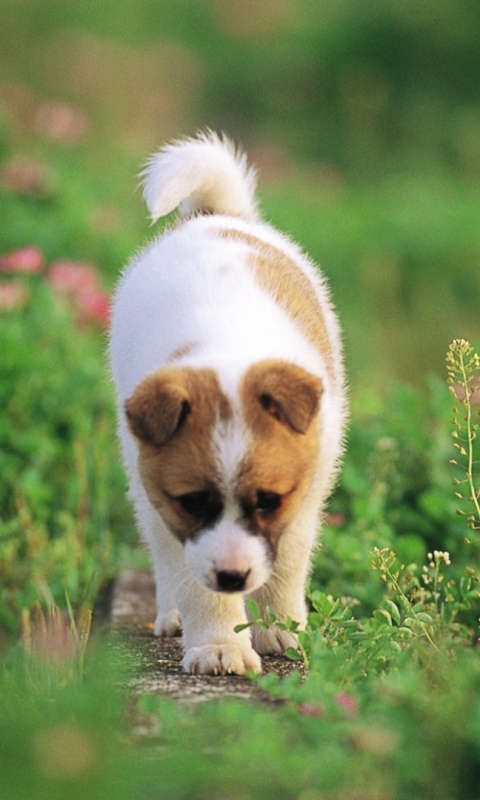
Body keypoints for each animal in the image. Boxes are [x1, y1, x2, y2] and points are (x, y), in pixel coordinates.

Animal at [109, 131, 344, 676]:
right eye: (194, 501)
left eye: (268, 501)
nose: (234, 577)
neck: (226, 349)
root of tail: (215, 215)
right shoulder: (169, 509)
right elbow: (195, 580)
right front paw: (219, 645)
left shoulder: (306, 489)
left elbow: (288, 563)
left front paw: (279, 629)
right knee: (165, 561)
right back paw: (172, 615)